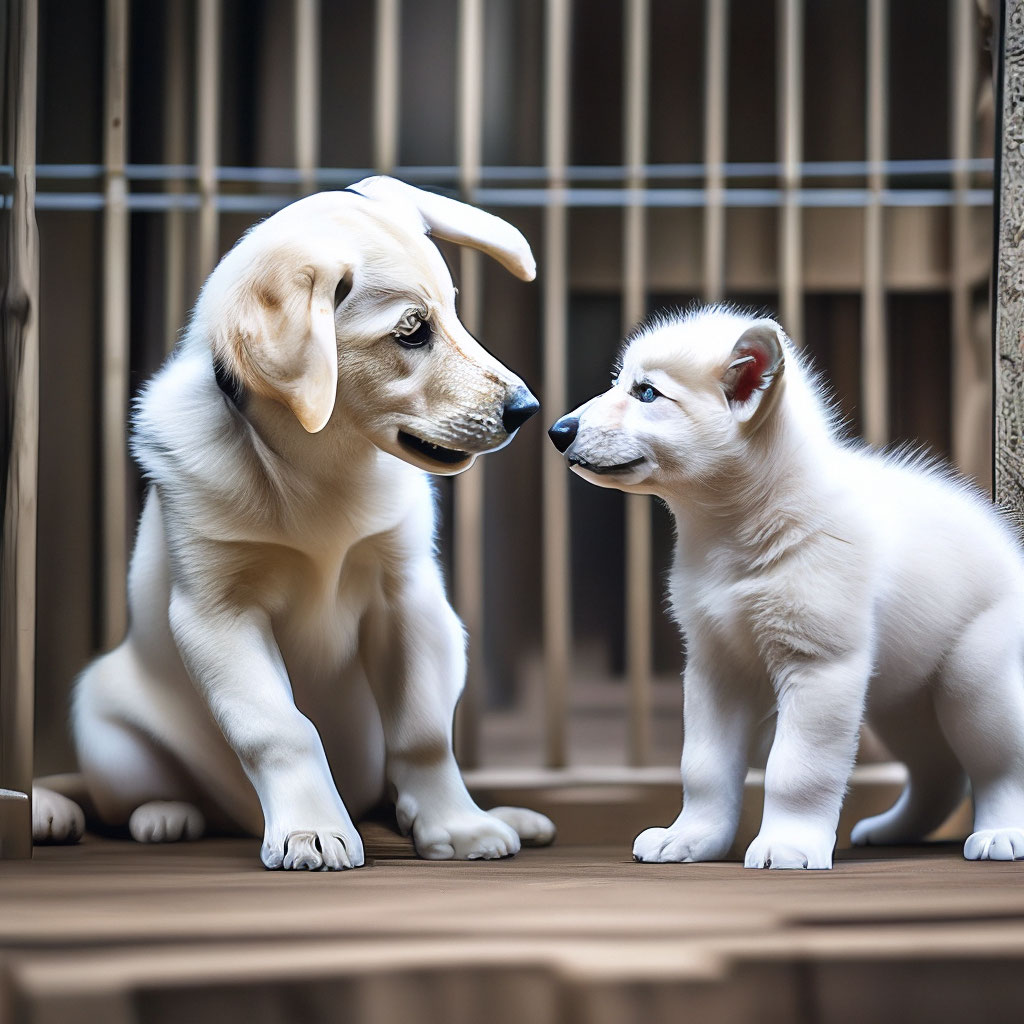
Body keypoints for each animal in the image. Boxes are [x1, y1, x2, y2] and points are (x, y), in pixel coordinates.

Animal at [32, 178, 557, 872]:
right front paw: (310, 829)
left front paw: (458, 825)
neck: (320, 468)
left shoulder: (408, 598)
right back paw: (165, 814)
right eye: (412, 331)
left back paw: (495, 816)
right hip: (109, 730)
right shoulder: (217, 614)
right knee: (124, 798)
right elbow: (279, 728)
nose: (527, 409)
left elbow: (422, 734)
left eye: (453, 313)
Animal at [548, 305, 1024, 872]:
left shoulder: (818, 667)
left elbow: (797, 770)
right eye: (620, 383)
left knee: (999, 765)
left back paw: (1001, 832)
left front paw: (788, 844)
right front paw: (691, 838)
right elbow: (702, 768)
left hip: (972, 682)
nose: (557, 429)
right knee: (939, 773)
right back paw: (893, 830)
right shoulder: (714, 667)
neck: (740, 533)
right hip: (903, 701)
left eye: (647, 393)